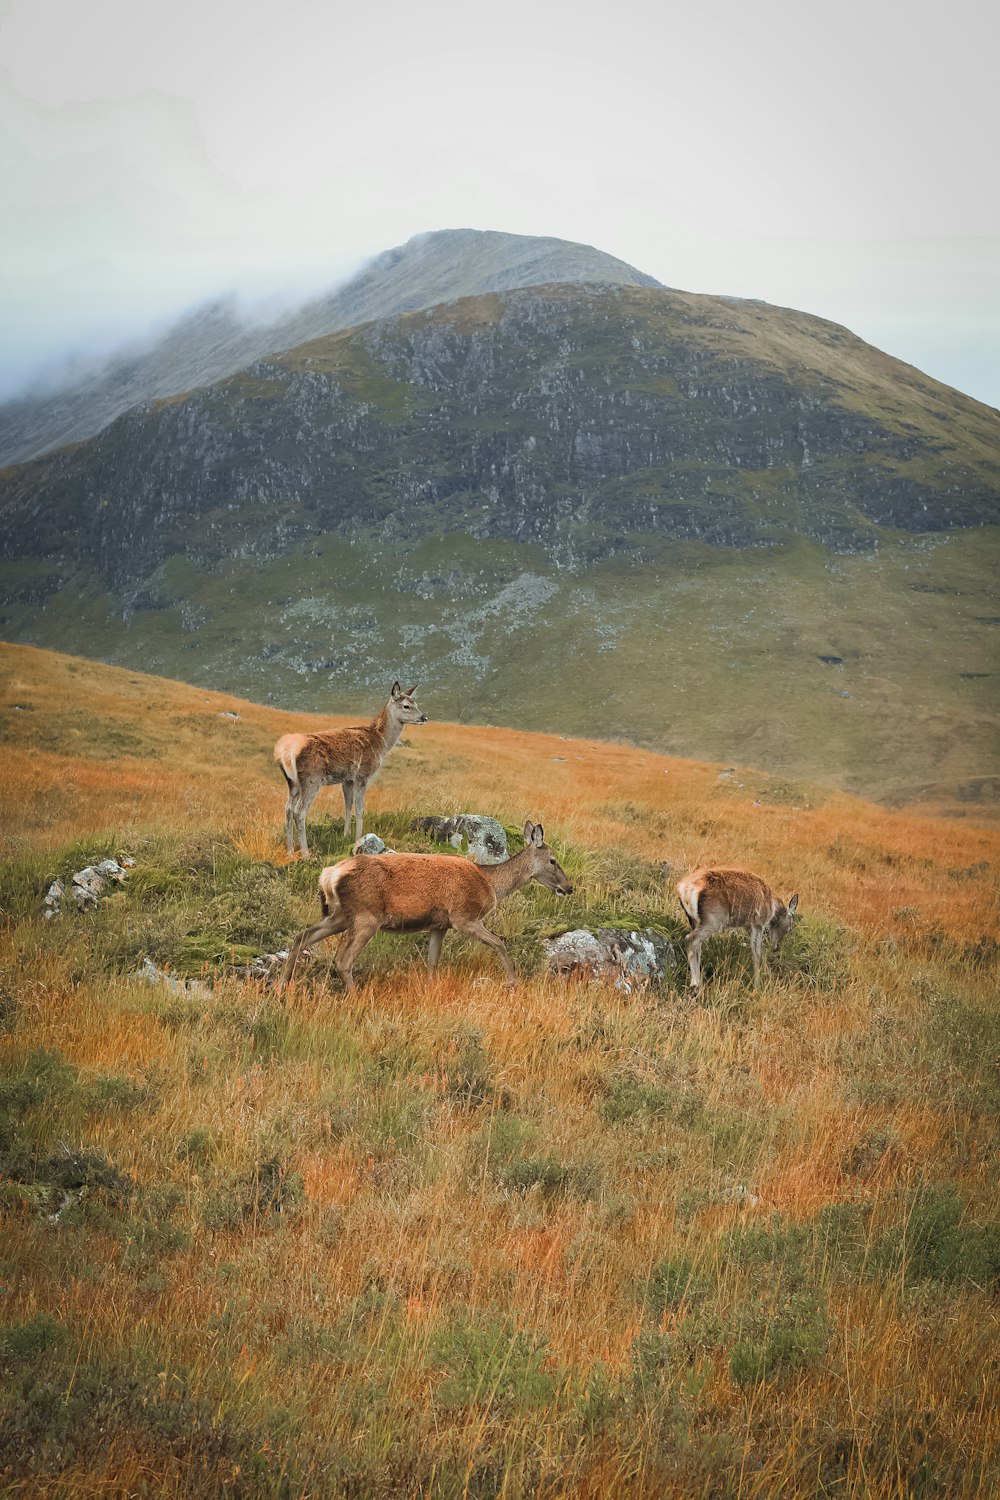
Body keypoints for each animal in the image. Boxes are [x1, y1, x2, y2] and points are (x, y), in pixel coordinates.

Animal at [275, 684, 428, 858]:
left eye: (415, 702)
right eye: (406, 706)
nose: (424, 717)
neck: (380, 743)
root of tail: (285, 752)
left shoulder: (347, 779)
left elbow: (347, 805)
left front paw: (346, 835)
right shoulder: (363, 775)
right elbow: (360, 809)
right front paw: (359, 839)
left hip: (292, 782)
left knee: (287, 809)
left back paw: (290, 851)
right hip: (311, 779)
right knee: (299, 812)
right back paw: (306, 853)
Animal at [280, 816, 569, 990]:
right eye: (553, 860)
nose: (569, 887)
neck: (490, 883)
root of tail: (329, 875)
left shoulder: (439, 924)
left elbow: (432, 961)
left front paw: (430, 987)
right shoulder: (464, 916)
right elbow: (499, 942)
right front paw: (512, 983)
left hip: (339, 915)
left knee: (302, 936)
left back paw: (283, 985)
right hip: (366, 916)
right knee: (342, 959)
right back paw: (353, 996)